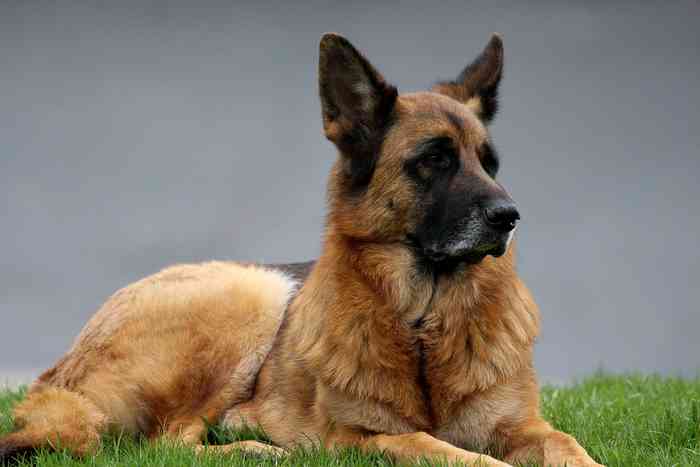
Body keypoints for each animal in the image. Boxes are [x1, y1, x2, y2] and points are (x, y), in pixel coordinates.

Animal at [0, 33, 600, 467]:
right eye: (435, 159)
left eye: (490, 163)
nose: (509, 216)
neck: (425, 322)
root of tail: (56, 375)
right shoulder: (364, 438)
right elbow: (451, 452)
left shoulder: (525, 427)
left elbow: (571, 448)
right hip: (253, 292)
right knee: (169, 441)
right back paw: (255, 450)